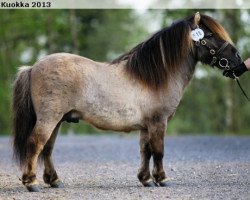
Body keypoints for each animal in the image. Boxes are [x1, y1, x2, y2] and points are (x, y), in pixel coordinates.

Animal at [12, 12, 243, 192]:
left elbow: (146, 151)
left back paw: (54, 181)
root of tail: (33, 67)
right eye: (210, 35)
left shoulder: (147, 126)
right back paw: (31, 183)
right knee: (35, 144)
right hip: (49, 119)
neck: (153, 77)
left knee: (47, 149)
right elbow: (158, 151)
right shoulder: (159, 122)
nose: (238, 61)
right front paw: (162, 179)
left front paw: (146, 179)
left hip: (58, 120)